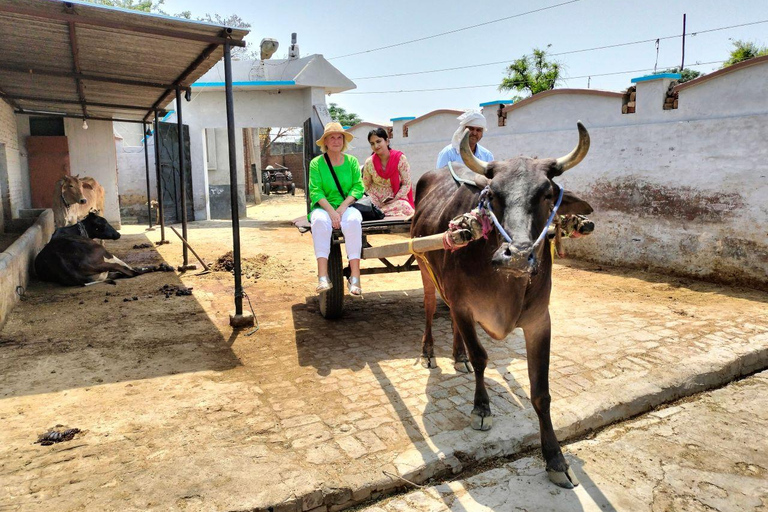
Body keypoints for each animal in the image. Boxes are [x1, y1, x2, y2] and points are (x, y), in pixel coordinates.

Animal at [414, 123, 592, 488]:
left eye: (547, 194)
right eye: (493, 195)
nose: (519, 255)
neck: (506, 283)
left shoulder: (539, 321)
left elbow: (541, 392)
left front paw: (555, 458)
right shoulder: (465, 306)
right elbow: (482, 357)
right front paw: (481, 409)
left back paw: (458, 356)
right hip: (425, 269)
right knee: (429, 307)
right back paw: (428, 351)